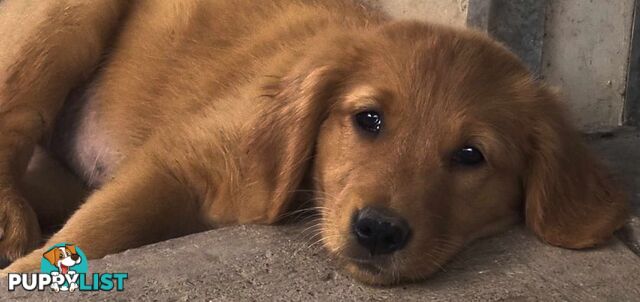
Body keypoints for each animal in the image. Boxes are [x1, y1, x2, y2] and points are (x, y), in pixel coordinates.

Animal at [0, 0, 632, 284]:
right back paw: (11, 222)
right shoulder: (175, 160)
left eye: (471, 156)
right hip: (62, 24)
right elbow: (97, 231)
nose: (378, 230)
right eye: (368, 120)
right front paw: (22, 275)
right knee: (15, 116)